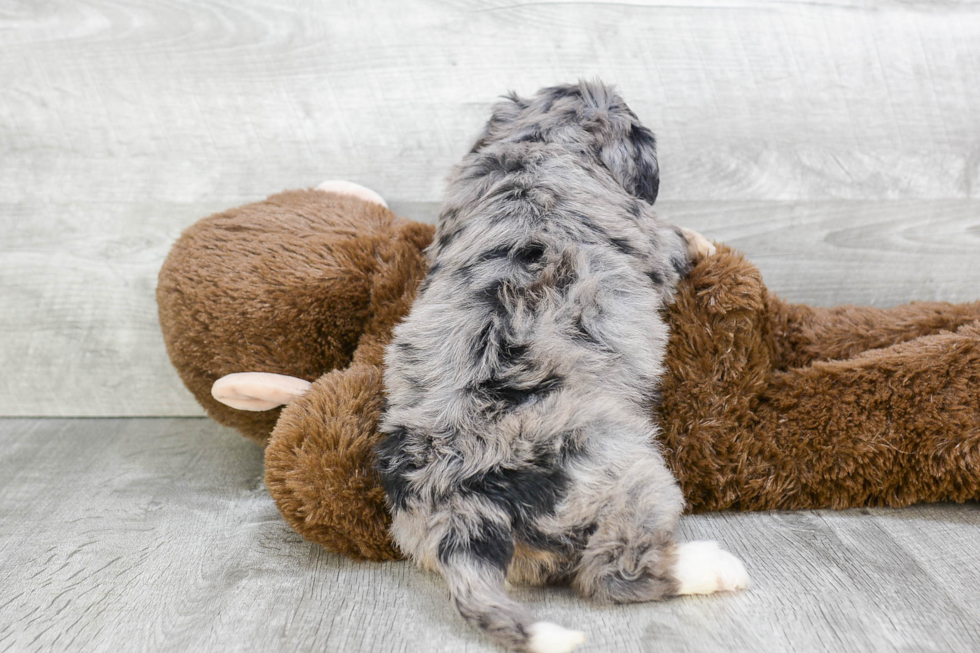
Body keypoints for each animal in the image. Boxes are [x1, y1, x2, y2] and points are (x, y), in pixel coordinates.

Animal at [378, 81, 748, 652]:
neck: (536, 146)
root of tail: (458, 501)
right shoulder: (651, 239)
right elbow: (672, 238)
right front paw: (702, 241)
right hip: (627, 472)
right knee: (614, 571)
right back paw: (709, 567)